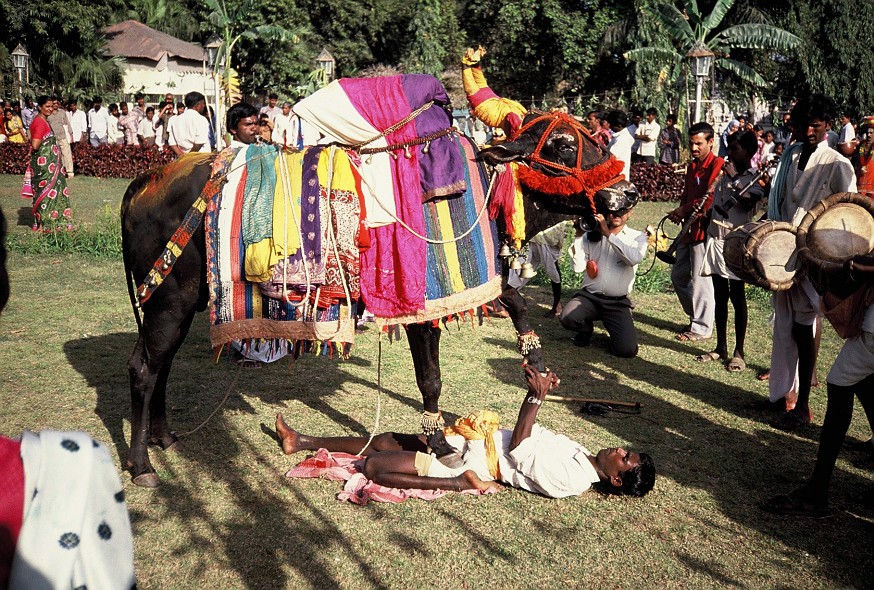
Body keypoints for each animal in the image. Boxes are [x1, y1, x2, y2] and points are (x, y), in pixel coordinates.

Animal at [119, 51, 632, 488]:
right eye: (563, 144)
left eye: (589, 135)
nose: (626, 192)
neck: (484, 189)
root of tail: (145, 180)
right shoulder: (424, 306)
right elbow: (431, 377)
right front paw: (439, 441)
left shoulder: (477, 282)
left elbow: (517, 302)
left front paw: (536, 362)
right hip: (170, 300)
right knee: (144, 367)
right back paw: (142, 465)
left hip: (179, 304)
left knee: (161, 363)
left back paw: (164, 437)